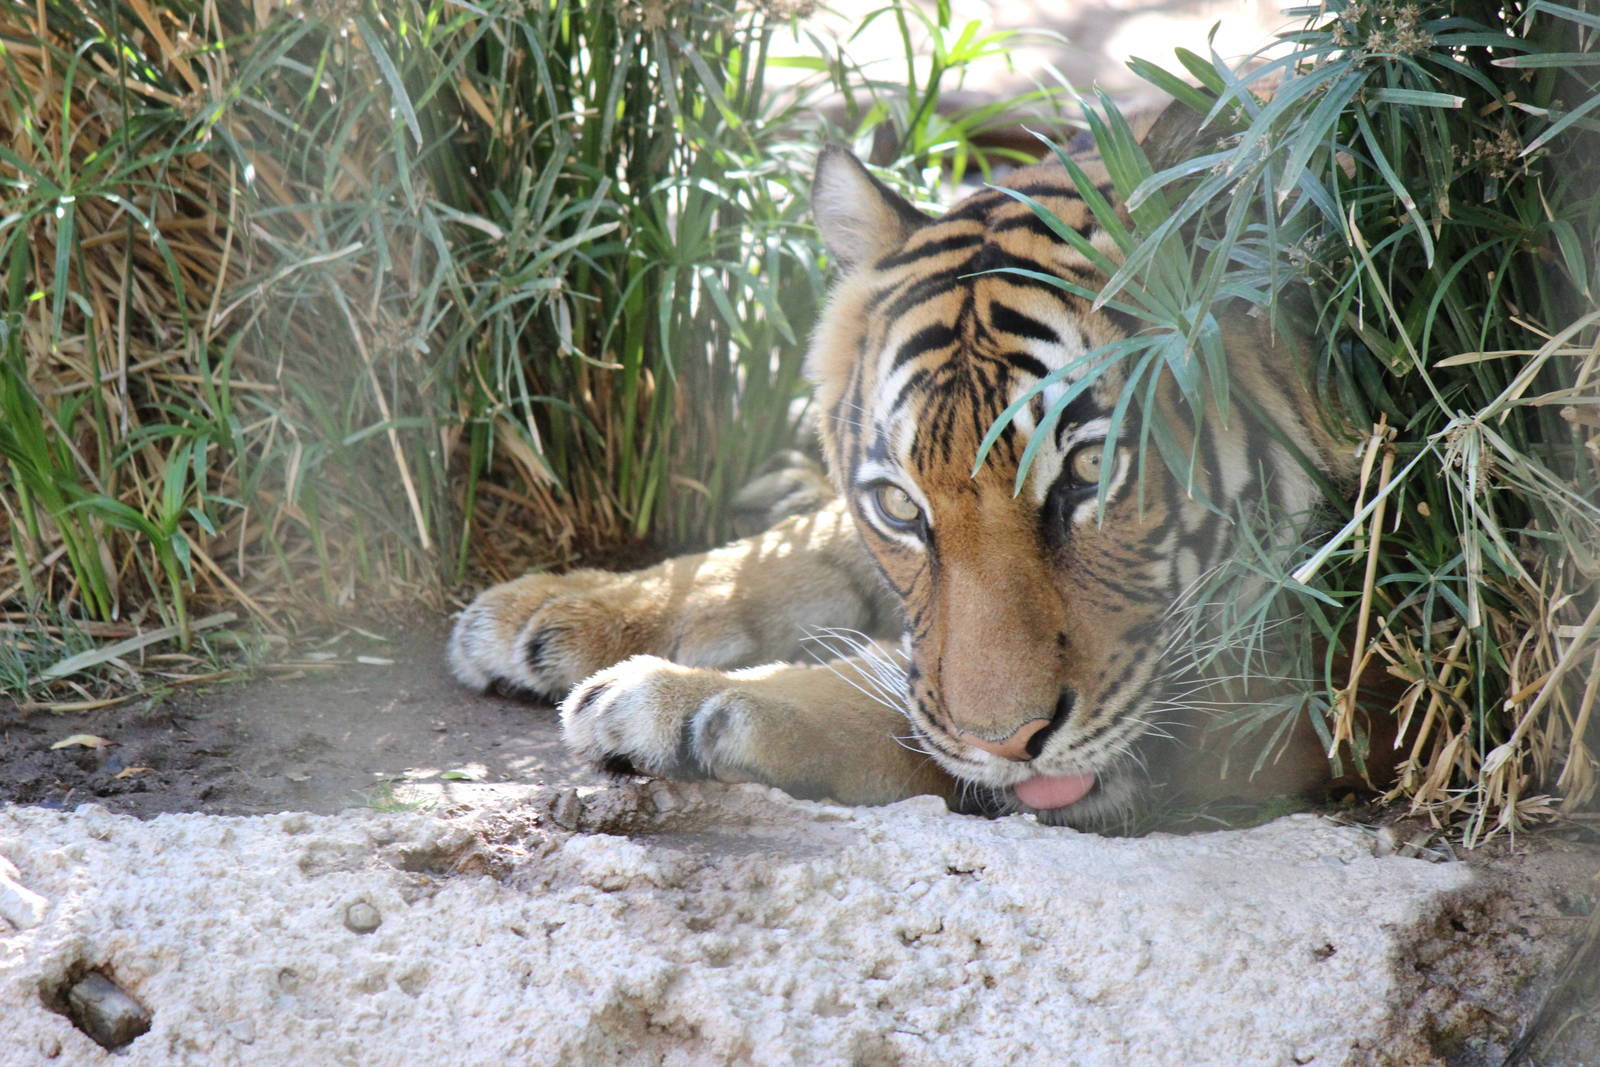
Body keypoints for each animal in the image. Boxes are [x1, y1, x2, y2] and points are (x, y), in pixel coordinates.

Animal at [448, 104, 1359, 830]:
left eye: (1091, 469)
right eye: (899, 507)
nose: (1010, 742)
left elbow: (900, 696)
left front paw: (679, 700)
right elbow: (812, 557)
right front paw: (566, 607)